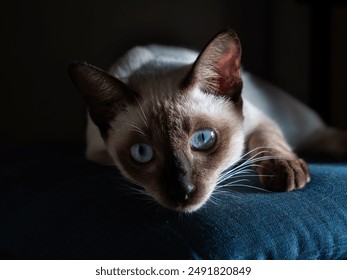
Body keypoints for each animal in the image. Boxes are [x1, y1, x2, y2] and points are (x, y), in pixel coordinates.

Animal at [68, 29, 347, 212]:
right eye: (141, 152)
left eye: (202, 139)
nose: (181, 192)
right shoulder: (97, 153)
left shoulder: (259, 120)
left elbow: (266, 141)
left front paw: (282, 171)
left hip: (301, 126)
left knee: (322, 134)